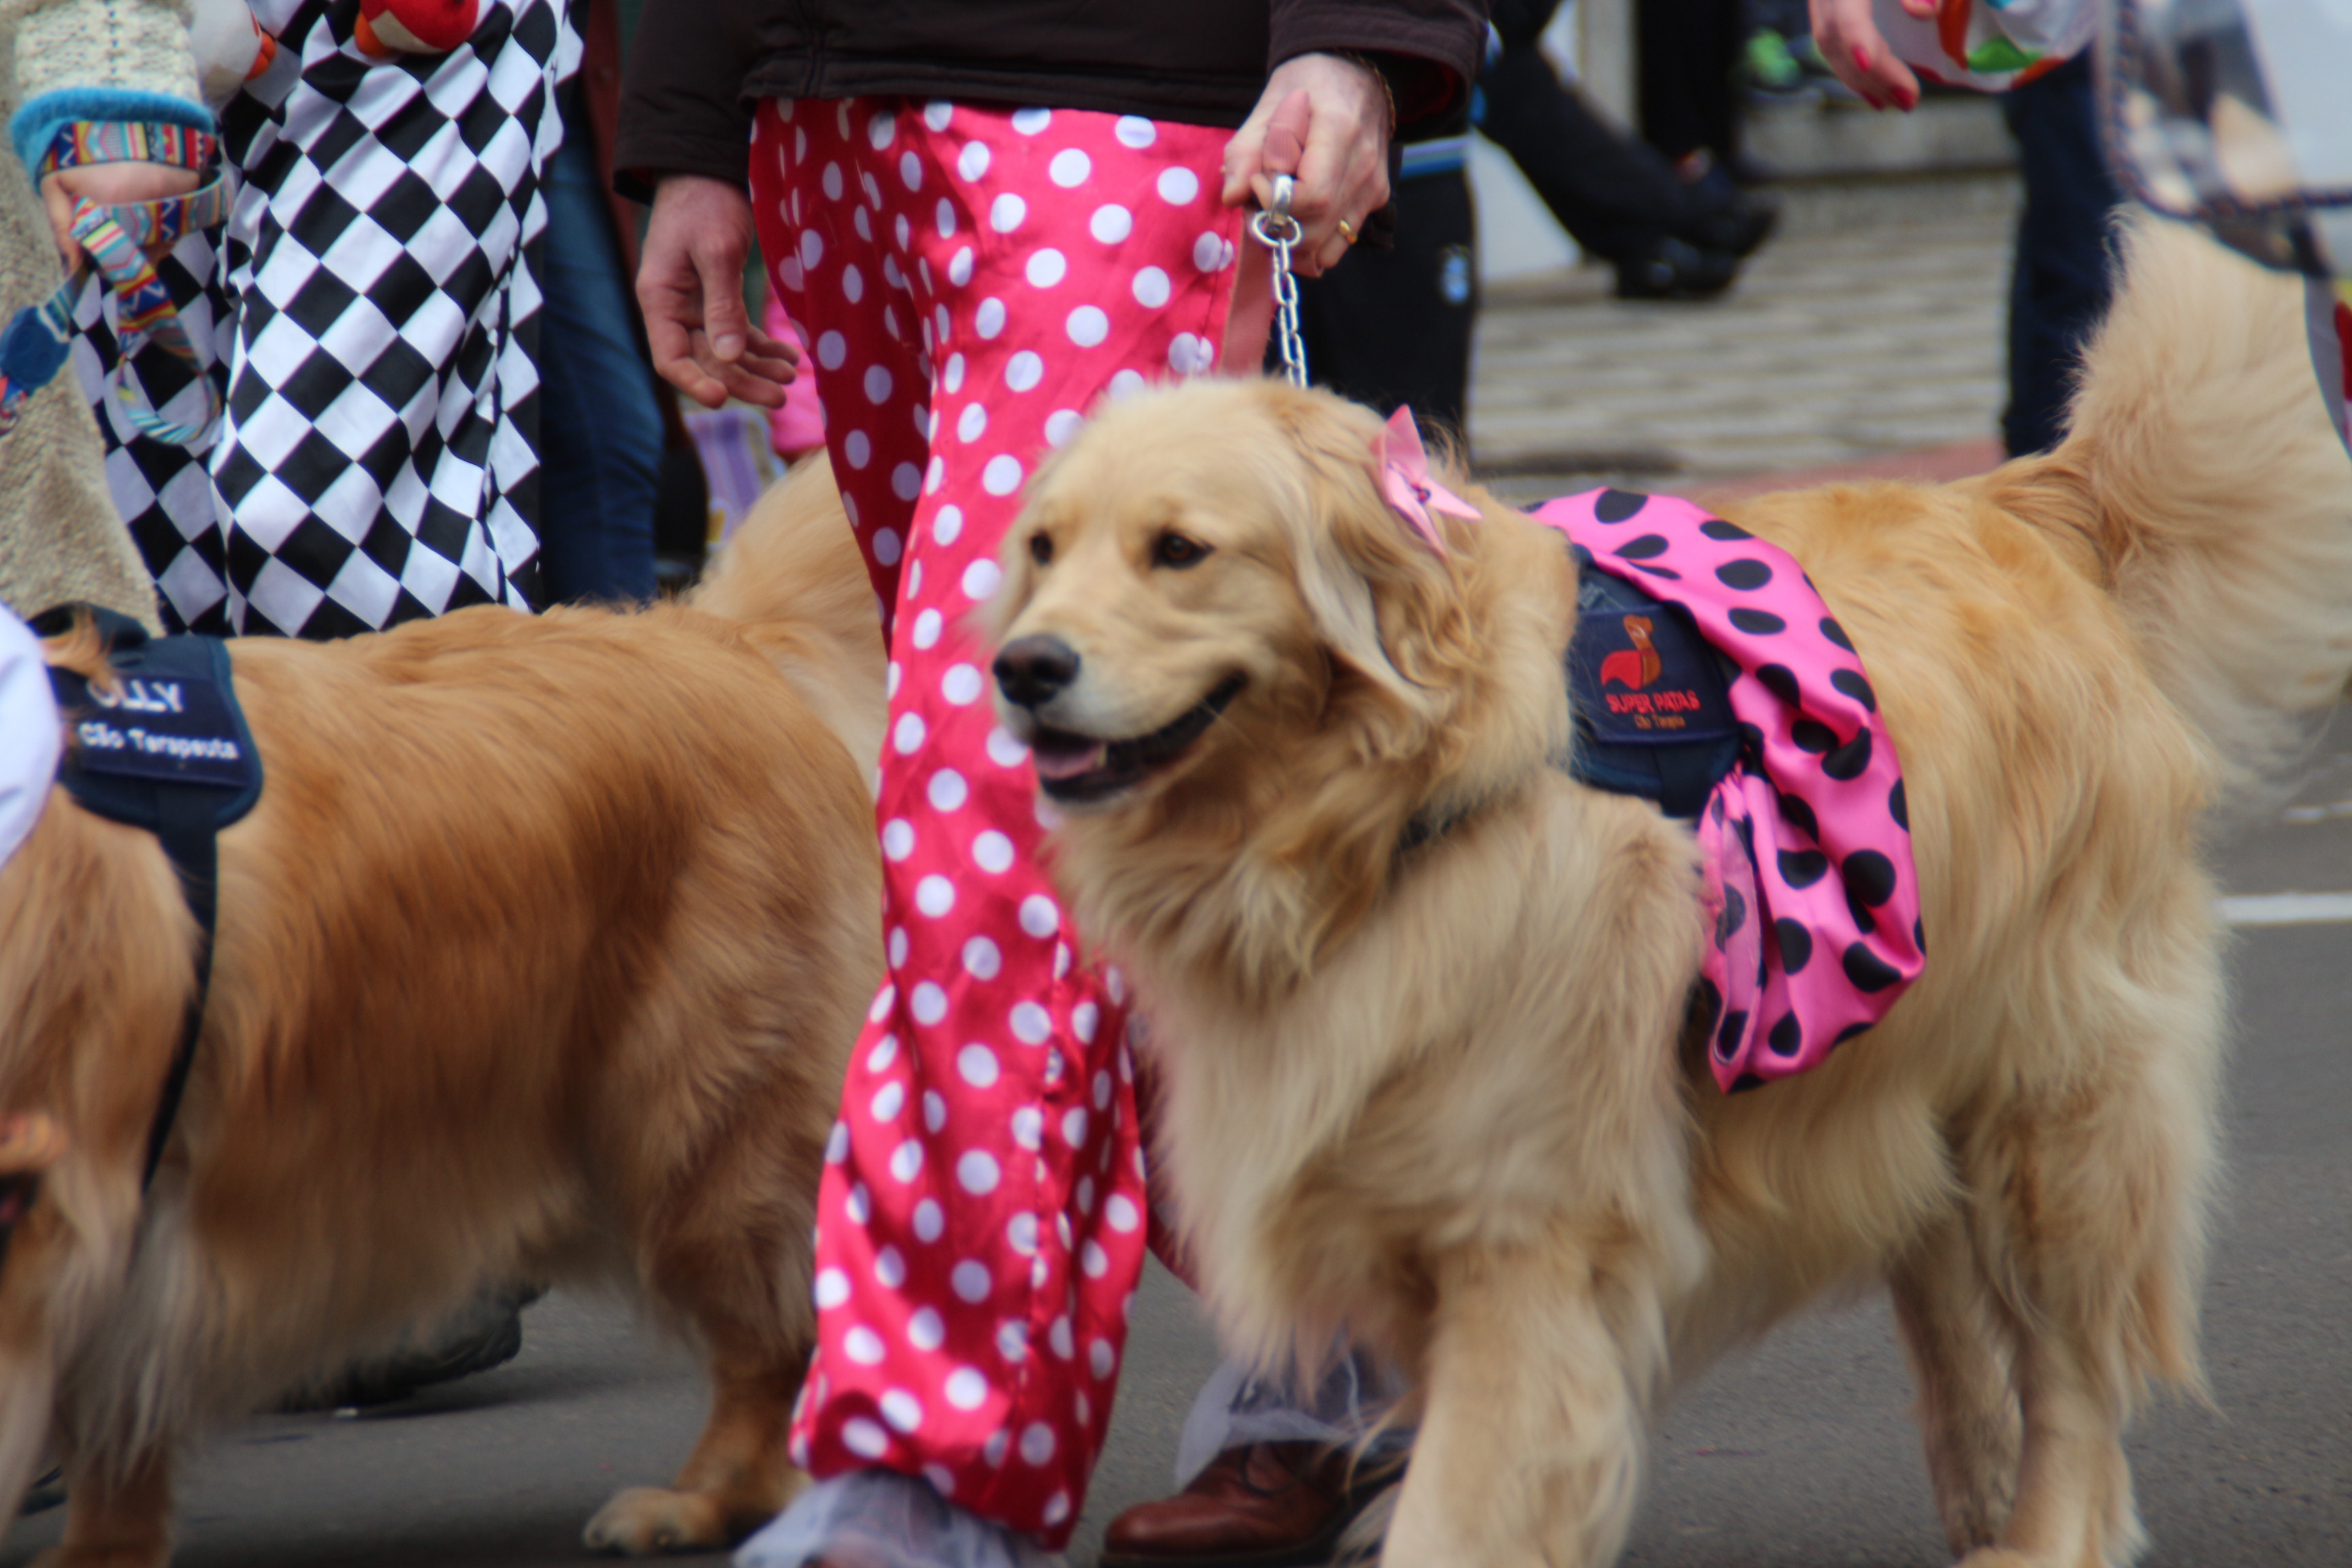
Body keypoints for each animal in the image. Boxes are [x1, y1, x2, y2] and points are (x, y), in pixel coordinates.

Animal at [984, 218, 2352, 1568]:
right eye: (1043, 548)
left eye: (1180, 551)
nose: (1022, 667)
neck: (1394, 806)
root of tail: (2024, 498)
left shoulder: (1524, 1233)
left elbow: (1462, 1505)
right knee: (1947, 1299)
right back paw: (1981, 1501)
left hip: (2056, 1098)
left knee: (2070, 1364)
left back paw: (2042, 1530)